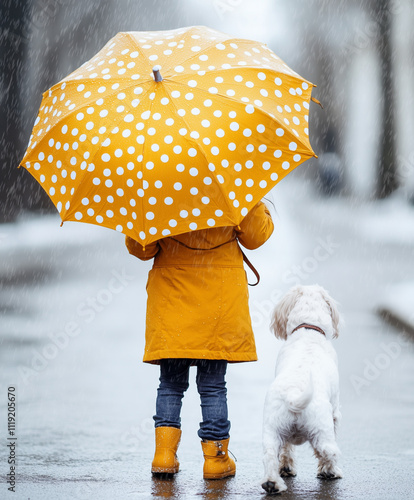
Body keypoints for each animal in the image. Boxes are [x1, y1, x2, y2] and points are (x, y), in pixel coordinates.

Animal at [262, 284, 342, 494]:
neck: (308, 328)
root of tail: (294, 396)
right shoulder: (335, 411)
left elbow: (286, 451)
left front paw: (286, 468)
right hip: (323, 429)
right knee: (328, 451)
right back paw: (331, 471)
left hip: (272, 431)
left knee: (270, 457)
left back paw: (272, 483)